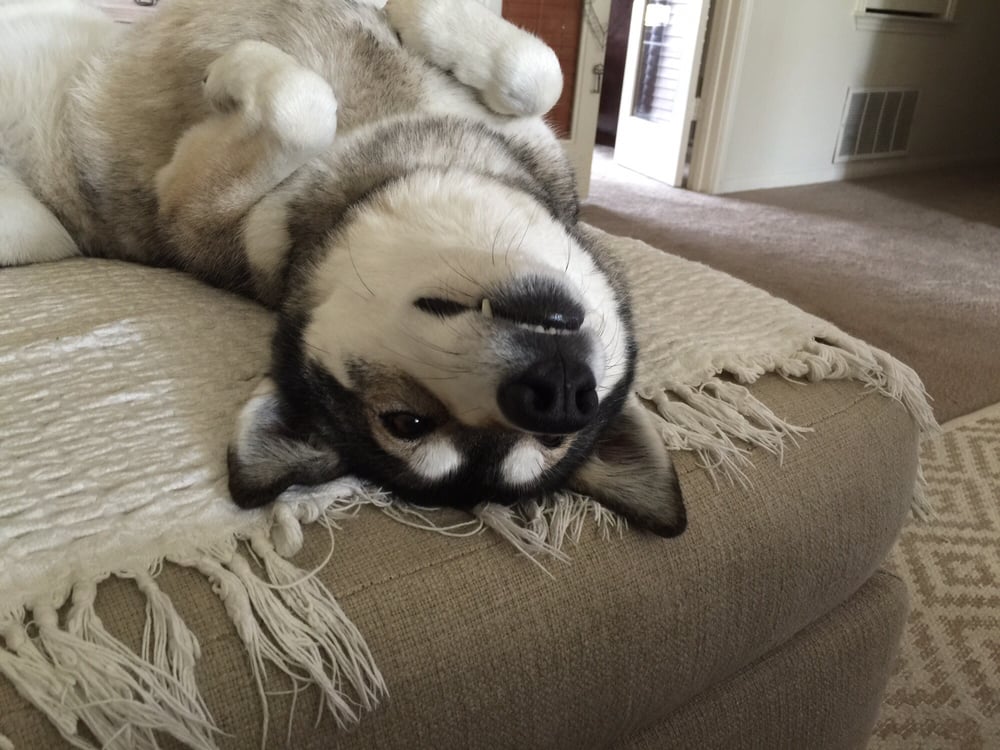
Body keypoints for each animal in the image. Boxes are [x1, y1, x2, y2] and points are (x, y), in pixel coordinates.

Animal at [0, 0, 685, 536]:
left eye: (404, 422)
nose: (561, 398)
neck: (415, 155)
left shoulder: (190, 210)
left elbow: (303, 105)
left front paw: (234, 67)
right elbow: (540, 72)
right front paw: (410, 15)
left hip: (34, 230)